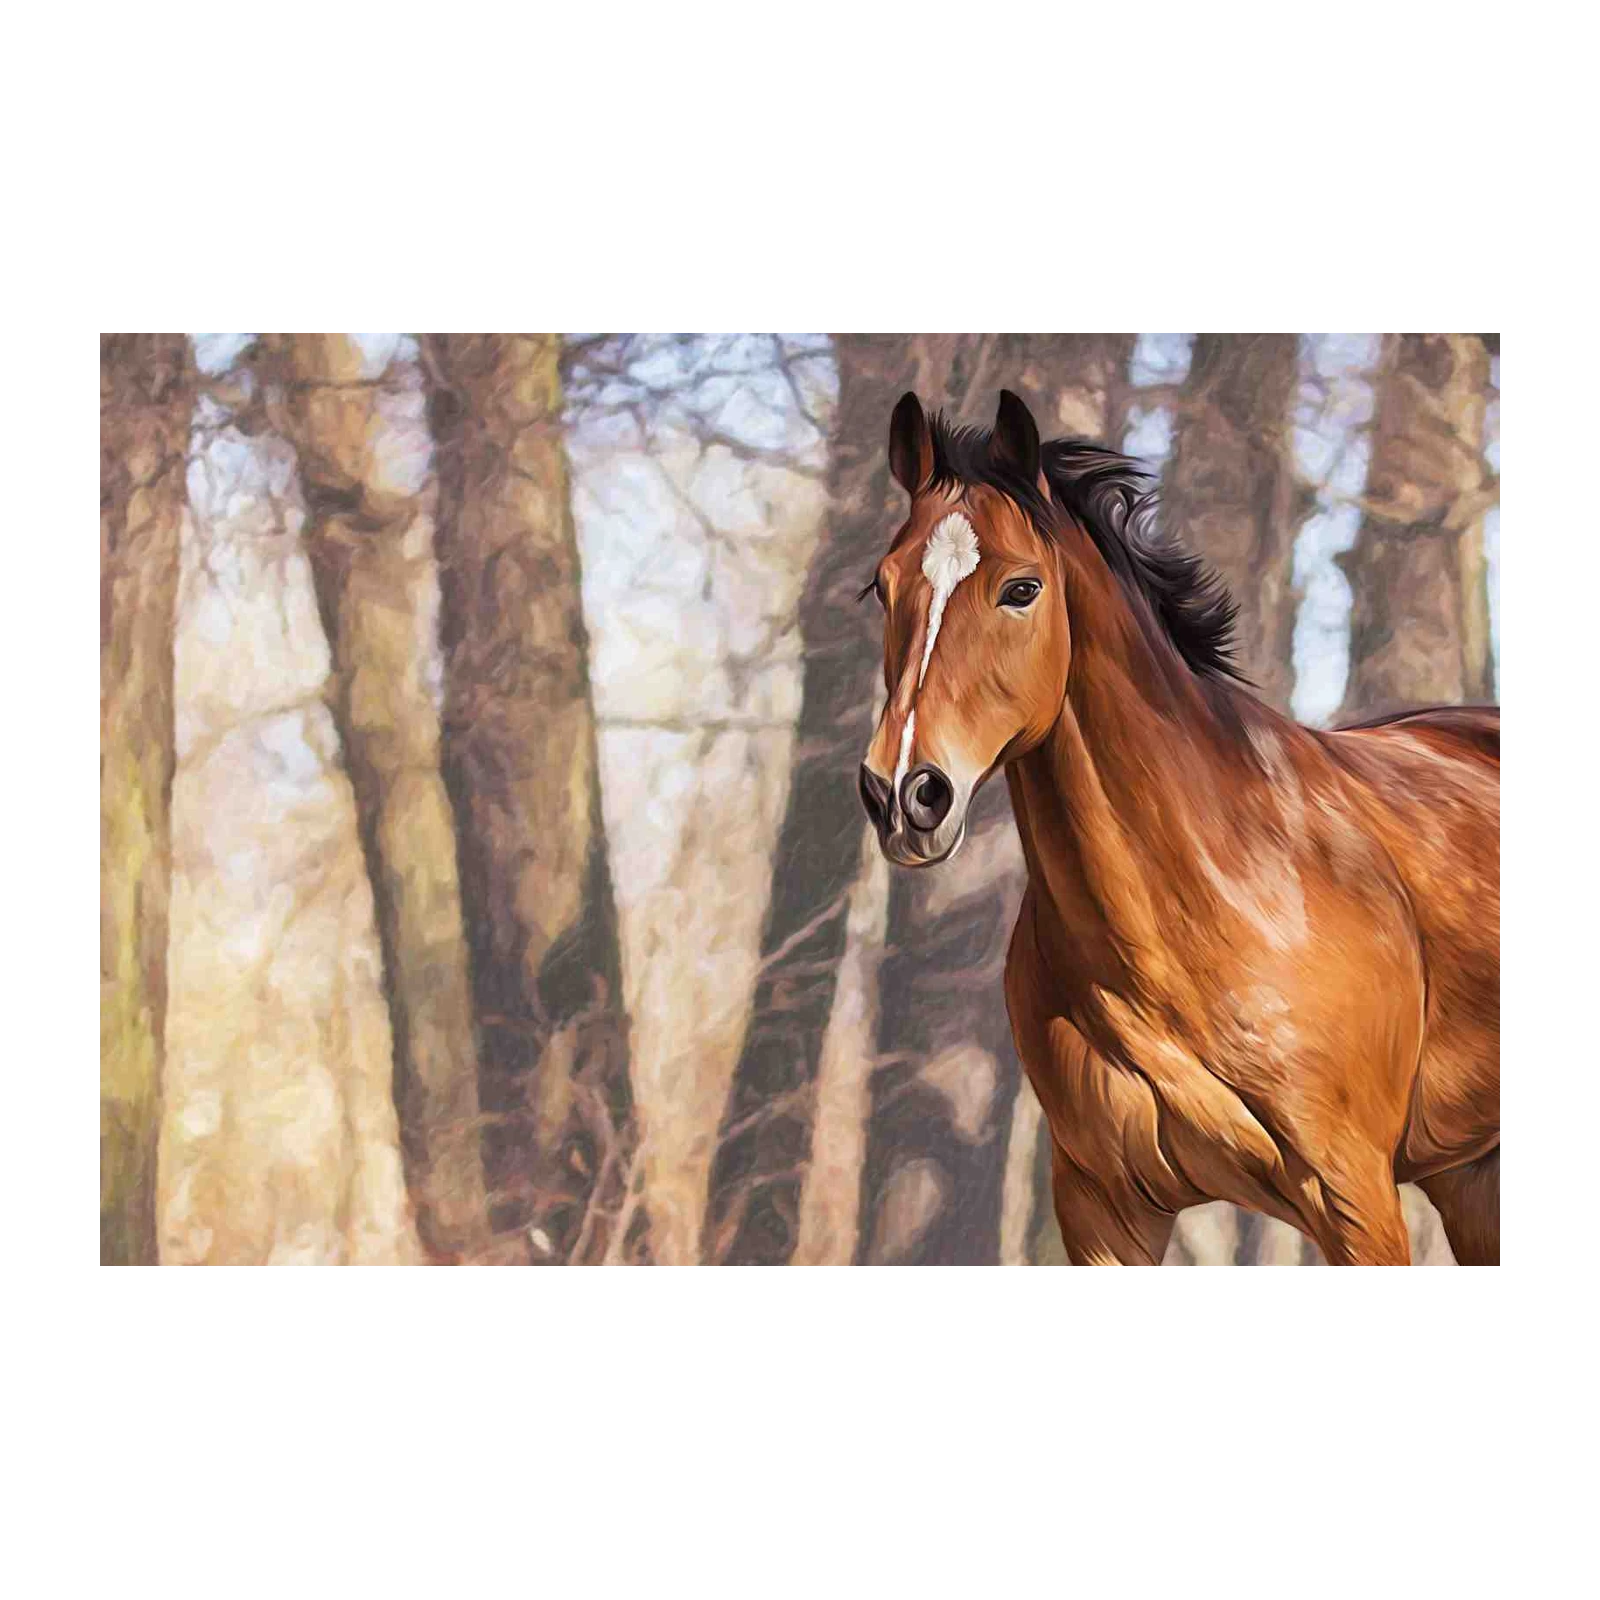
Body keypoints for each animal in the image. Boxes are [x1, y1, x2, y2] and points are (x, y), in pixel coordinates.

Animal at [856, 389, 1502, 1269]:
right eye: (882, 587)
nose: (903, 792)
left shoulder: (1357, 1197)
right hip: (1469, 1172)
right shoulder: (1104, 1207)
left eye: (1021, 589)